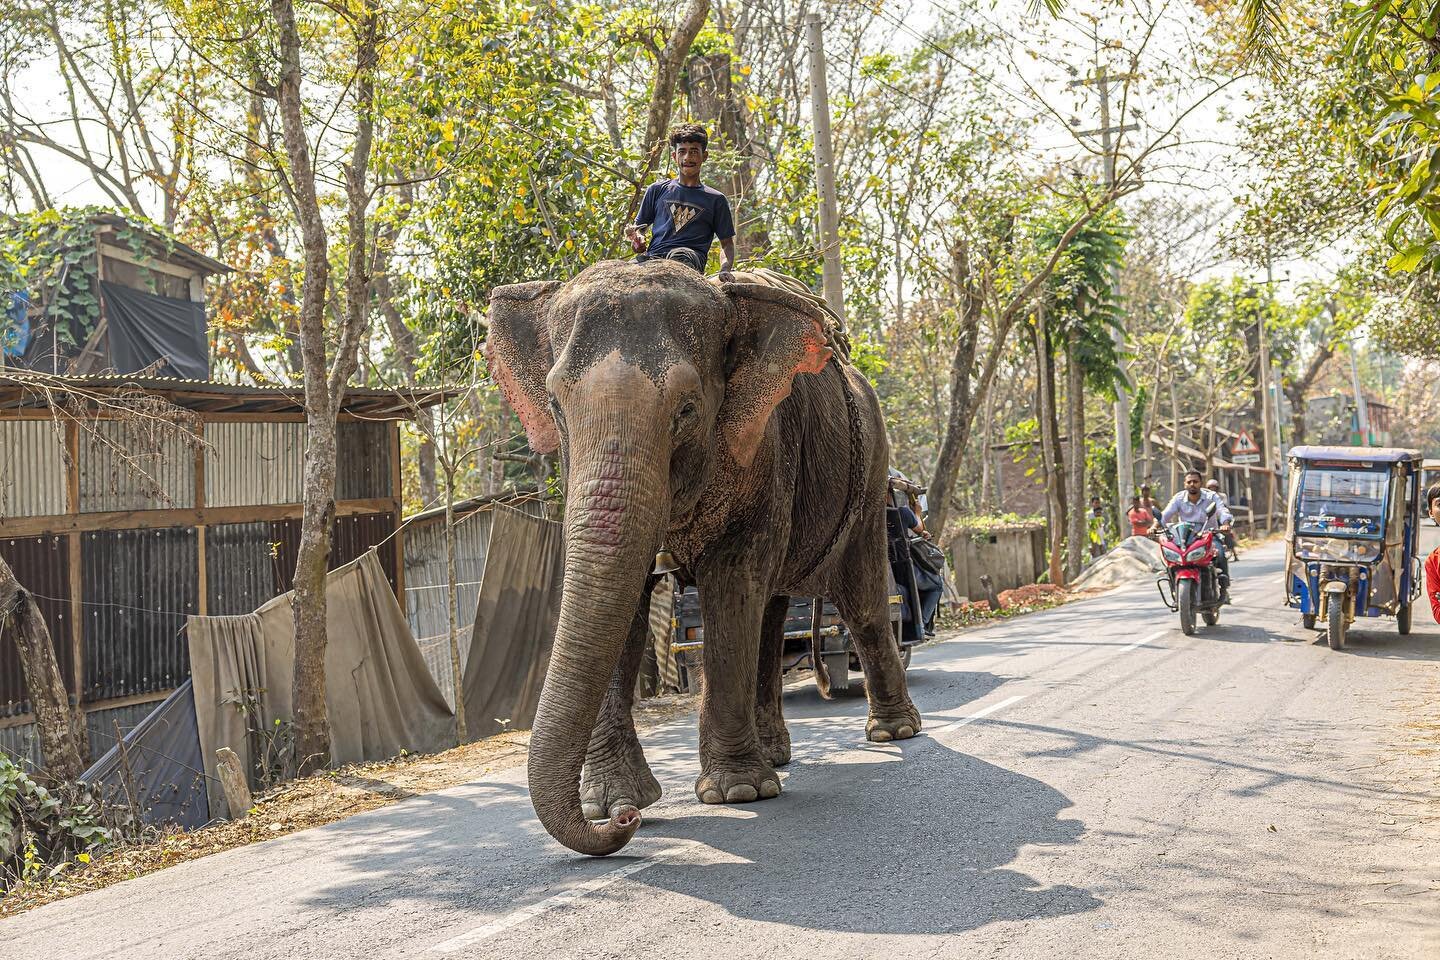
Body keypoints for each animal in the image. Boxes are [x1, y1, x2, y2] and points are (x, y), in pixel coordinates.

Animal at [486, 260, 921, 857]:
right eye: (555, 406)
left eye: (687, 410)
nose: (625, 825)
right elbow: (628, 601)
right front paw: (614, 801)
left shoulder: (763, 450)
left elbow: (731, 586)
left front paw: (736, 793)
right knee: (771, 611)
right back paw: (777, 753)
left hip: (871, 467)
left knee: (862, 600)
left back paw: (892, 733)